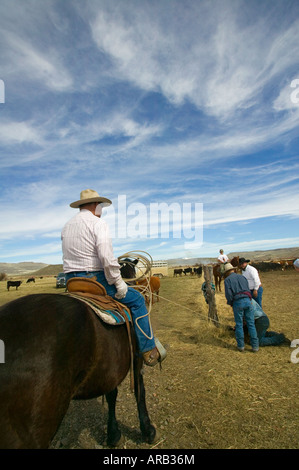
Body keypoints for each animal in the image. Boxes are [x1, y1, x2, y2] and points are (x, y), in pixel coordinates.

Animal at [0, 292, 158, 450]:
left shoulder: (109, 371)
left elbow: (111, 395)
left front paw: (113, 434)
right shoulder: (137, 358)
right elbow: (139, 391)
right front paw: (148, 430)